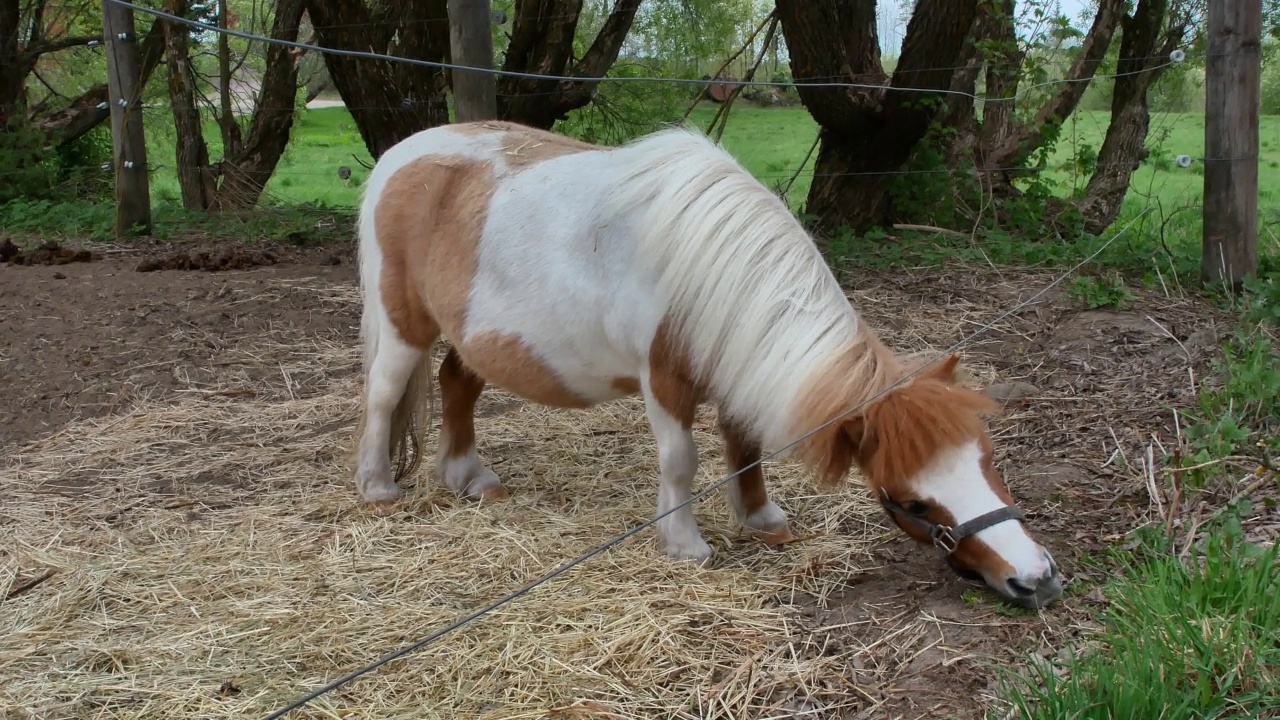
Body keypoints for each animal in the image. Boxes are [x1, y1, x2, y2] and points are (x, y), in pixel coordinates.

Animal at [348, 119, 1059, 604]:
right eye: (911, 502)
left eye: (988, 458)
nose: (1036, 579)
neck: (710, 265)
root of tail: (400, 157)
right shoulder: (665, 383)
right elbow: (681, 461)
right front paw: (686, 545)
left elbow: (745, 447)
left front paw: (762, 519)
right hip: (403, 327)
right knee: (383, 397)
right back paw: (379, 488)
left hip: (476, 339)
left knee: (456, 385)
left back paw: (470, 477)